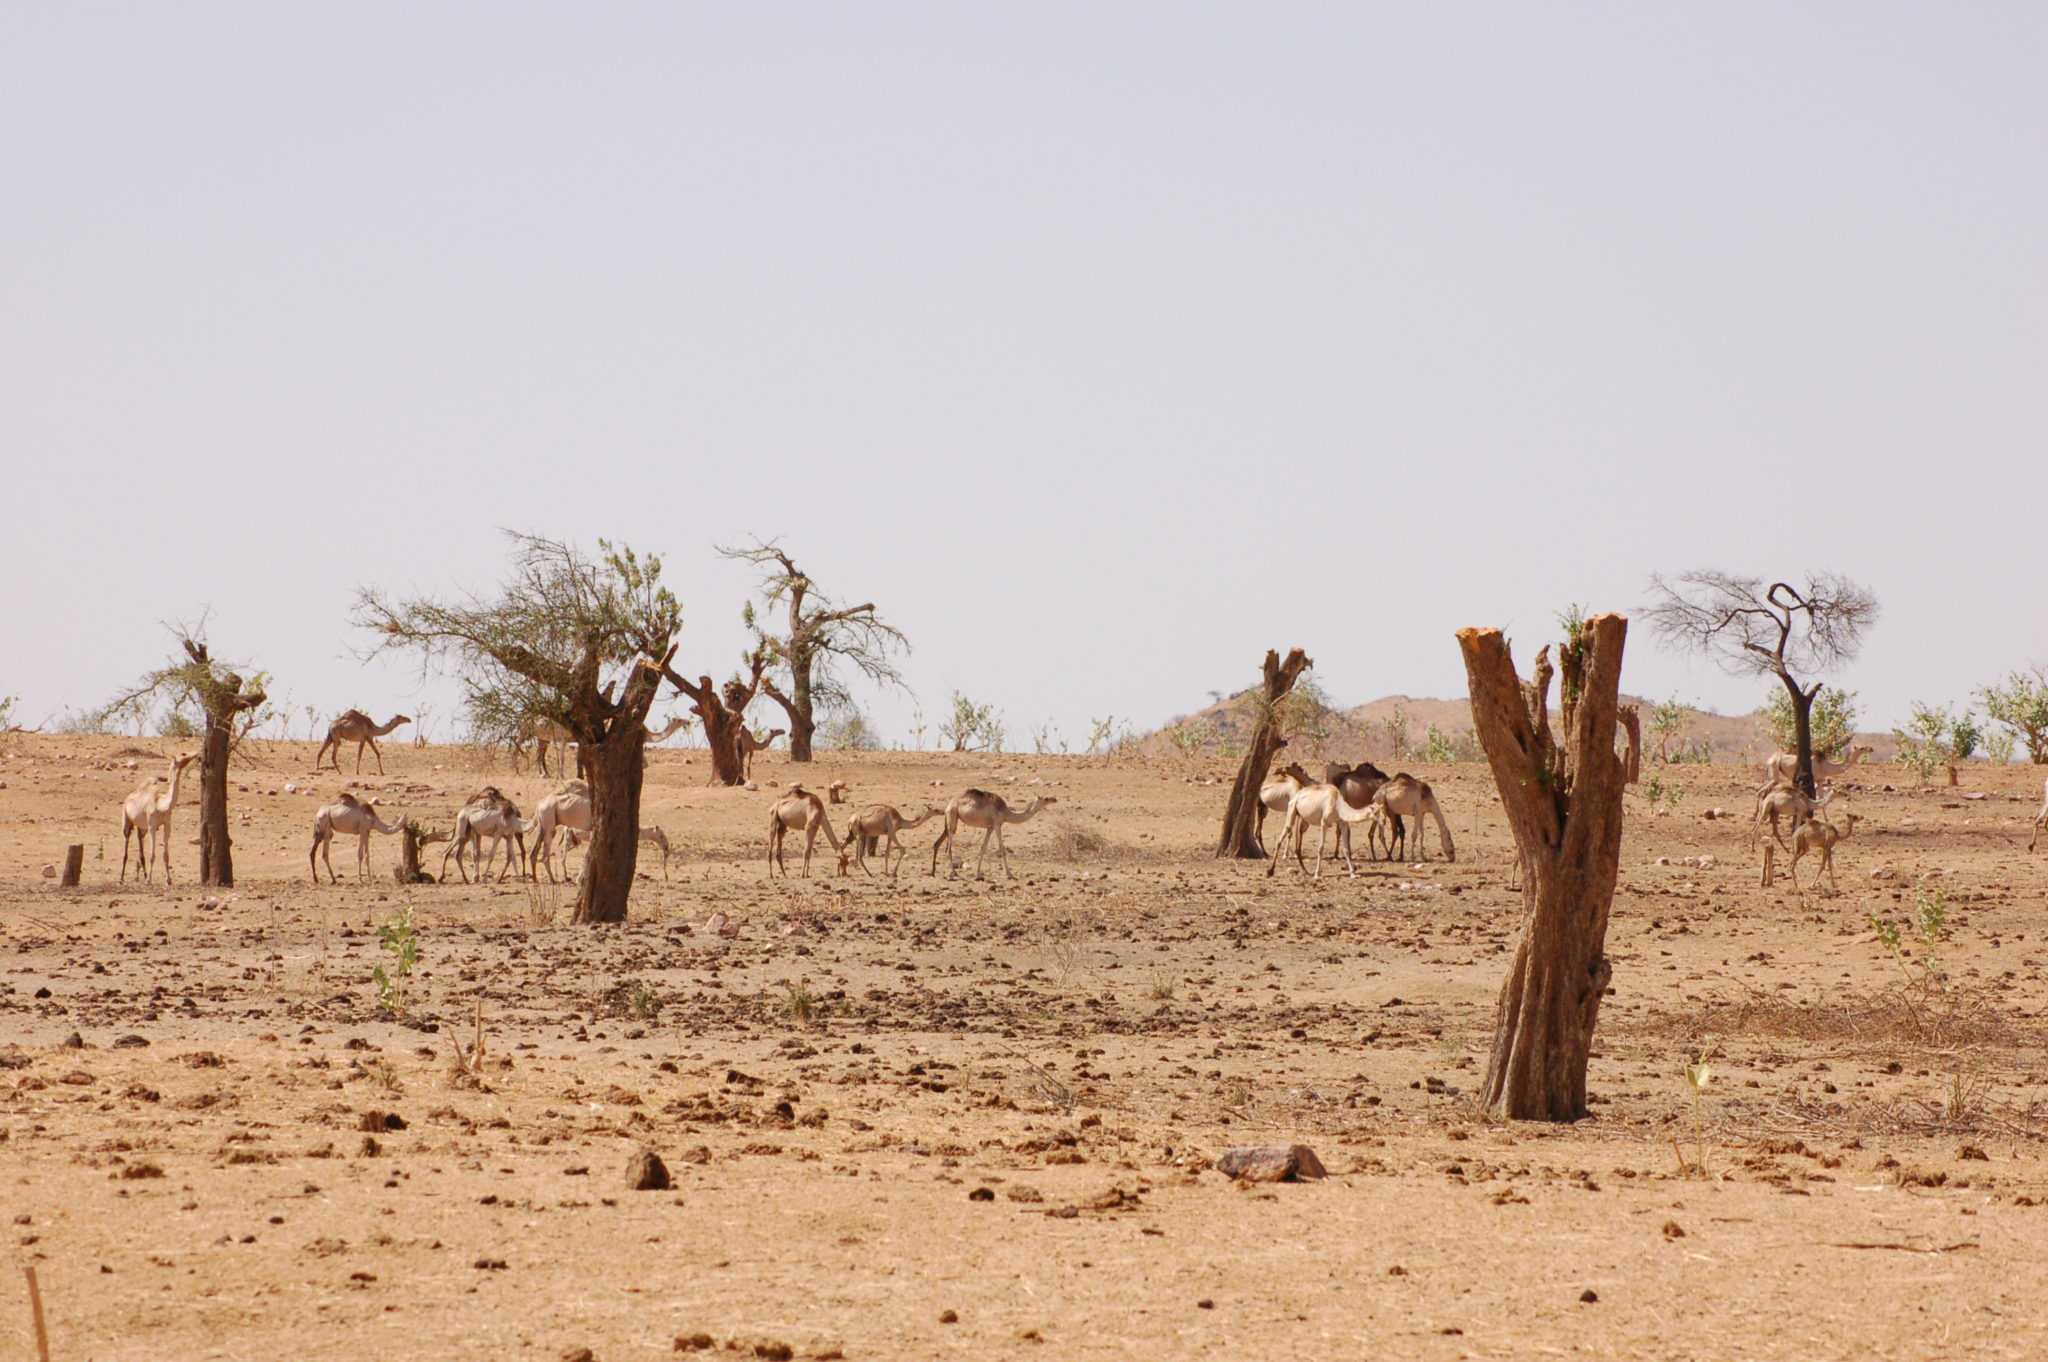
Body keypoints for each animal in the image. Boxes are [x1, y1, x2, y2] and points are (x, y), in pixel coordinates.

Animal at [119, 749, 195, 888]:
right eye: (183, 754)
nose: (196, 753)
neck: (161, 805)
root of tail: (129, 797)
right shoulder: (152, 826)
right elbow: (152, 855)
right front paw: (149, 880)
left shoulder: (167, 825)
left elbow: (165, 855)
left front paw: (168, 880)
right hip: (126, 820)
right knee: (126, 845)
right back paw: (121, 879)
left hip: (142, 827)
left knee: (140, 842)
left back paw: (143, 875)